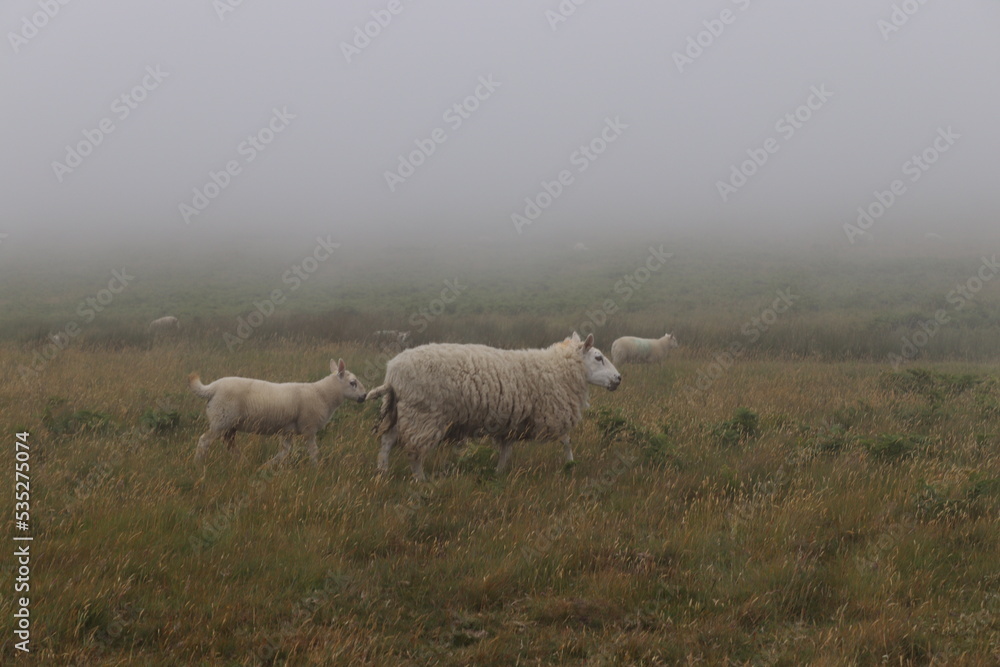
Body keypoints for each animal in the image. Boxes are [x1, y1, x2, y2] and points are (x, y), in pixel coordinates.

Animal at [188, 358, 366, 466]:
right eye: (353, 383)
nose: (364, 396)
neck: (322, 394)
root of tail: (212, 388)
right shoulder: (309, 428)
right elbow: (313, 451)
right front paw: (316, 468)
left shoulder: (287, 431)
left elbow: (284, 451)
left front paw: (267, 466)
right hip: (221, 420)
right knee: (204, 441)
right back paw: (197, 464)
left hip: (229, 425)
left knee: (229, 444)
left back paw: (244, 462)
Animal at [366, 332, 621, 481]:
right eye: (598, 357)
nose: (618, 379)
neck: (558, 369)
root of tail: (392, 372)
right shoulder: (551, 411)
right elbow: (566, 440)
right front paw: (570, 464)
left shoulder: (511, 419)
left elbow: (506, 449)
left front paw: (499, 471)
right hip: (423, 414)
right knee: (414, 451)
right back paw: (421, 479)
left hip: (402, 410)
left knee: (387, 441)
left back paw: (382, 472)